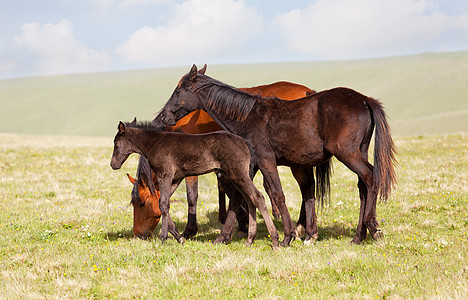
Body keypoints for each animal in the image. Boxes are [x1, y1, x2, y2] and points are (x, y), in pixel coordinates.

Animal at [111, 119, 280, 248]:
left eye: (116, 144)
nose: (113, 164)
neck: (155, 143)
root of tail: (244, 143)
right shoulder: (176, 178)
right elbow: (161, 203)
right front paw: (180, 238)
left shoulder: (165, 175)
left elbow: (164, 204)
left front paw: (163, 237)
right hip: (235, 177)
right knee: (250, 200)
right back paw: (250, 240)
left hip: (238, 174)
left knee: (257, 197)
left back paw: (275, 239)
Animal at [130, 67, 316, 239]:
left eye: (142, 203)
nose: (138, 234)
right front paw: (241, 222)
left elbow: (193, 196)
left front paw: (191, 230)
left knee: (305, 188)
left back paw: (300, 226)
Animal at [159, 64, 396, 247]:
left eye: (179, 90)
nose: (164, 116)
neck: (246, 116)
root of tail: (364, 100)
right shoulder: (250, 166)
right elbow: (238, 197)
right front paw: (223, 237)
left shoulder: (266, 161)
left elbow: (277, 194)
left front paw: (286, 237)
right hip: (358, 152)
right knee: (362, 187)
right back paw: (357, 236)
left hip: (347, 154)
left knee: (370, 178)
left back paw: (372, 227)